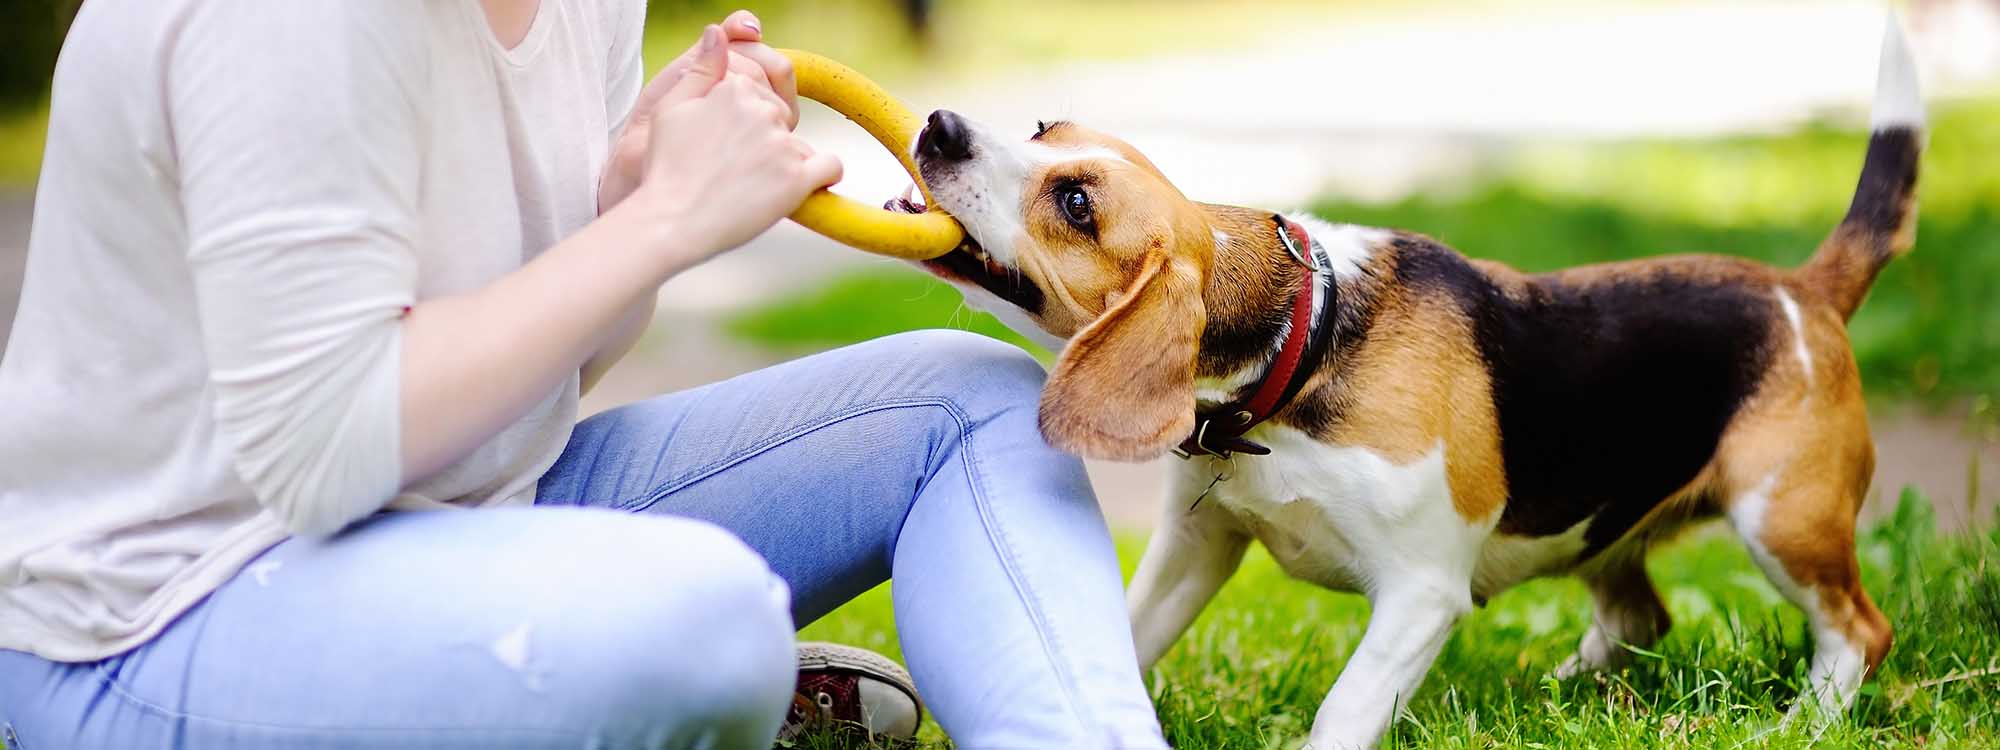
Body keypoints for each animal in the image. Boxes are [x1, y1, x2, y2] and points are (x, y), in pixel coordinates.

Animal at [904, 14, 1920, 748]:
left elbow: (1344, 712)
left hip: (1783, 519)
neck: (1303, 337)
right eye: (1044, 128)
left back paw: (1806, 721)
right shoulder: (1198, 545)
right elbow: (1121, 634)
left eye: (1076, 202)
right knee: (1641, 613)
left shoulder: (1422, 593)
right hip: (1608, 531)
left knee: (1858, 632)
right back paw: (1559, 694)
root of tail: (1802, 289)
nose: (941, 125)